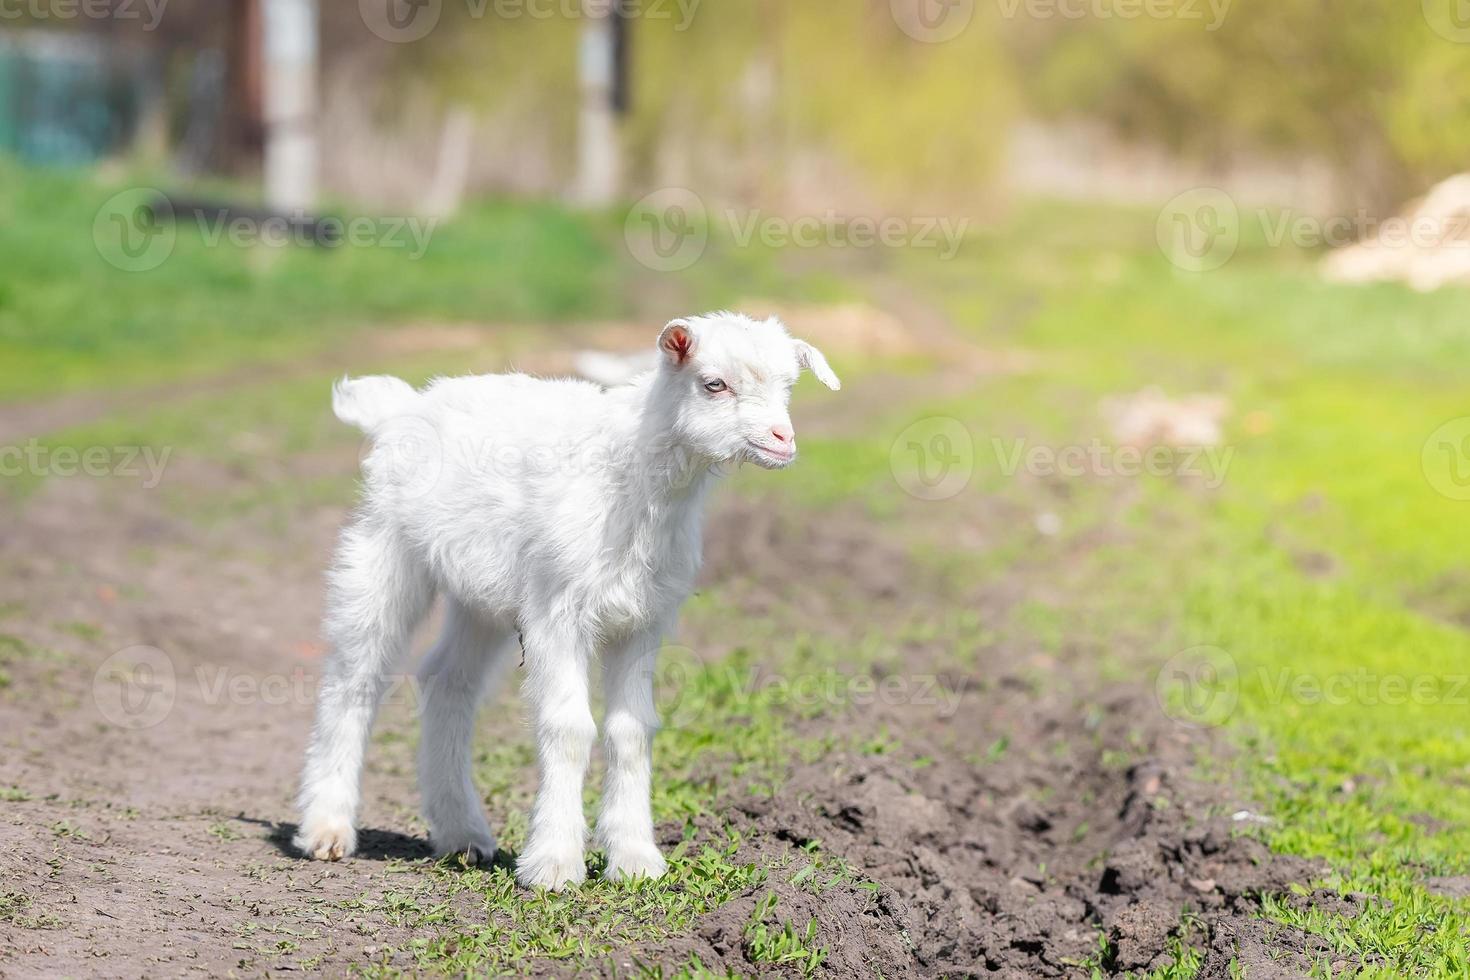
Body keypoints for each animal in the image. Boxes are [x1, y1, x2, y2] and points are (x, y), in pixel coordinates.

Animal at [295, 312, 840, 887]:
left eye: (789, 385)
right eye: (714, 384)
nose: (782, 439)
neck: (635, 482)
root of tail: (400, 407)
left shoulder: (643, 619)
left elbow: (631, 731)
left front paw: (634, 859)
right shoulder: (557, 611)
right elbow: (570, 727)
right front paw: (554, 864)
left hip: (481, 598)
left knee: (448, 681)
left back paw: (462, 834)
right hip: (384, 550)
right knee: (355, 678)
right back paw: (327, 829)